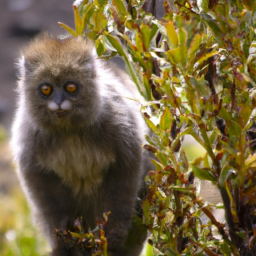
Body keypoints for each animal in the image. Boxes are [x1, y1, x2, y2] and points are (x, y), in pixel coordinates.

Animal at [10, 34, 152, 256]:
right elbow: (41, 188)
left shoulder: (120, 124)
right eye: (46, 89)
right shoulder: (30, 141)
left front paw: (114, 238)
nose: (59, 103)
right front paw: (61, 236)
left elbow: (124, 181)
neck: (70, 131)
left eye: (71, 87)